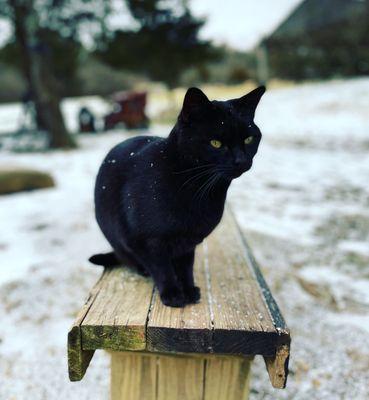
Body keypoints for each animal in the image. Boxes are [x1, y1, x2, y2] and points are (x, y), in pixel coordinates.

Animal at [90, 86, 266, 308]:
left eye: (249, 139)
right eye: (216, 143)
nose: (241, 161)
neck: (199, 191)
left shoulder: (188, 242)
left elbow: (185, 268)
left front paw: (188, 290)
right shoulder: (147, 241)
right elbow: (161, 268)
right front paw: (172, 294)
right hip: (118, 239)